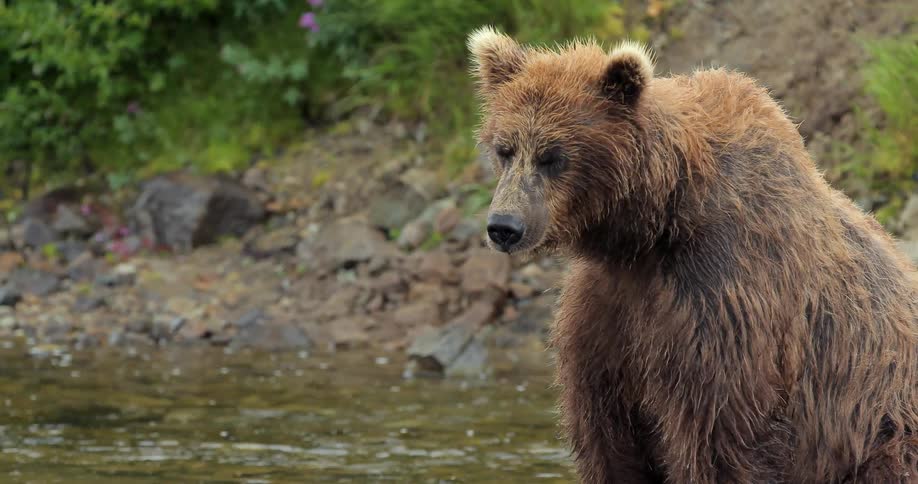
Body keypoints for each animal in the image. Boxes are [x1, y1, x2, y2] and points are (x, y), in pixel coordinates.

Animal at [468, 27, 917, 483]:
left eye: (553, 156)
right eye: (504, 148)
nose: (504, 226)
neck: (653, 229)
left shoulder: (723, 301)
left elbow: (722, 437)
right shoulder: (606, 315)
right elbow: (608, 438)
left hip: (883, 424)